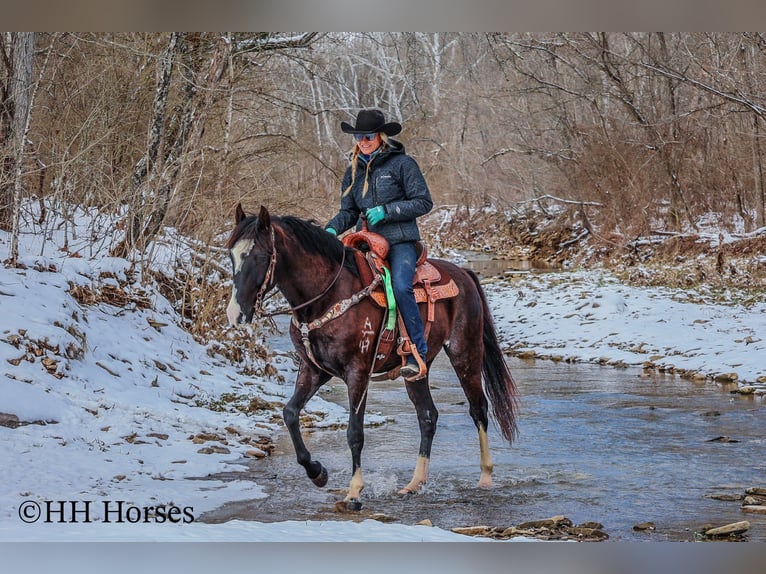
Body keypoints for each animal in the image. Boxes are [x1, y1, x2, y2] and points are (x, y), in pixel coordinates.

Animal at [225, 205, 520, 510]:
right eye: (231, 254)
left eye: (260, 256)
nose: (235, 314)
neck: (327, 295)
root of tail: (463, 272)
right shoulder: (314, 369)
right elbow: (290, 413)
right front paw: (317, 472)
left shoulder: (358, 371)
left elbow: (355, 432)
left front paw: (354, 492)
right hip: (417, 370)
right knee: (428, 416)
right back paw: (414, 484)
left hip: (465, 353)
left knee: (478, 409)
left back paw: (485, 476)